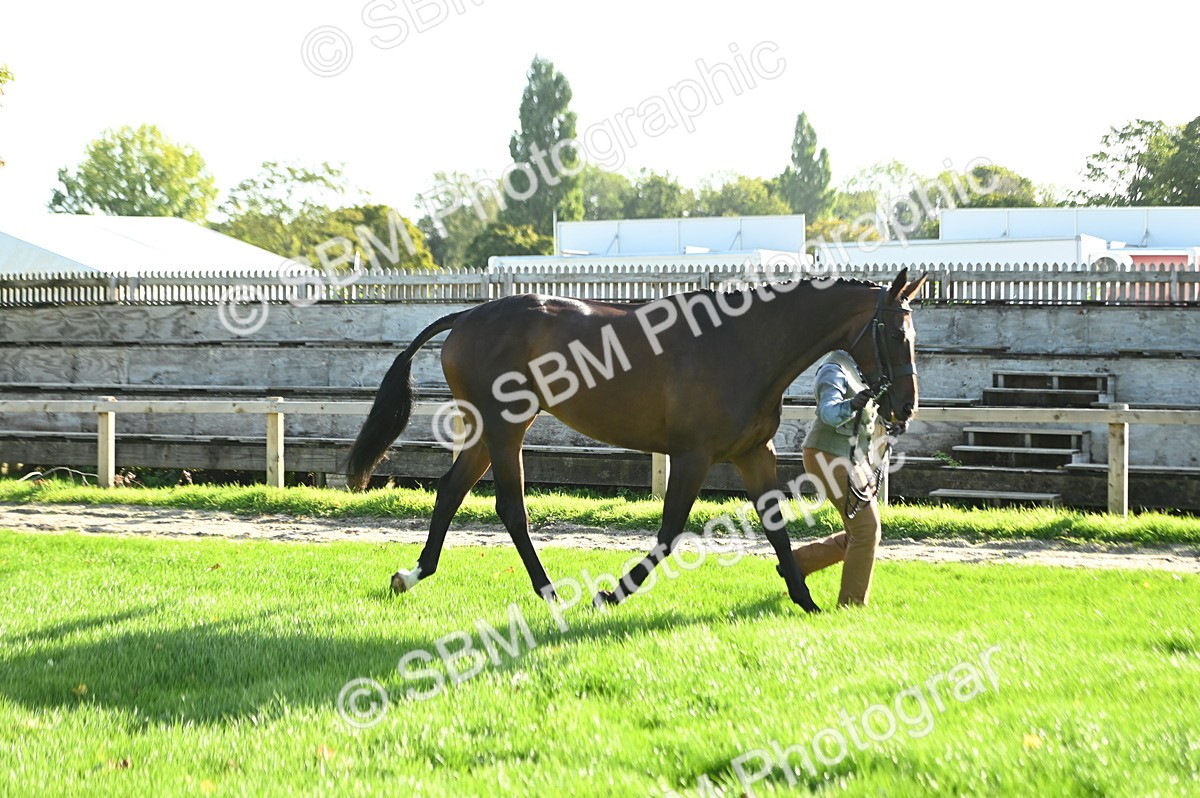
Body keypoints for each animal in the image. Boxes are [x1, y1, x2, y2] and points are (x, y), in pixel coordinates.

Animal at [346, 268, 927, 613]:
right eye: (897, 334)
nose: (904, 407)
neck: (743, 345)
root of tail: (467, 314)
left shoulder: (751, 453)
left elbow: (776, 528)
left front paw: (806, 602)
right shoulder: (693, 456)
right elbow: (669, 532)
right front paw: (611, 594)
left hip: (490, 431)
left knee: (450, 491)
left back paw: (413, 574)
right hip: (507, 427)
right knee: (510, 507)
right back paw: (551, 593)